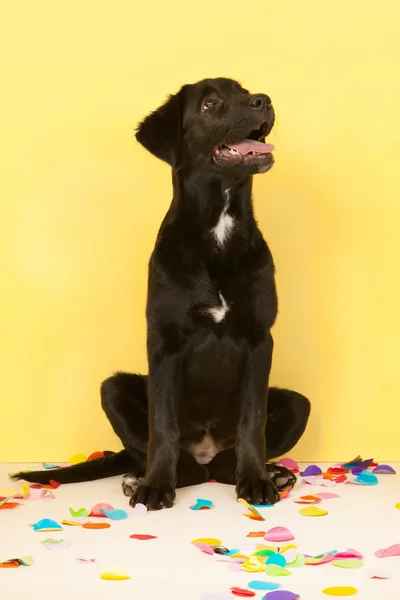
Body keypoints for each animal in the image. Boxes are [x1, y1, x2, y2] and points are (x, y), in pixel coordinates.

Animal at [13, 77, 310, 510]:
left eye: (243, 89)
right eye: (209, 103)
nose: (264, 100)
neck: (218, 228)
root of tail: (205, 450)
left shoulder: (260, 338)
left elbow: (253, 421)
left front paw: (256, 479)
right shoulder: (164, 341)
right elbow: (163, 423)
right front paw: (154, 486)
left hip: (297, 404)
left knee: (223, 465)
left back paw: (270, 473)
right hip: (113, 389)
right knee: (186, 466)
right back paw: (143, 476)